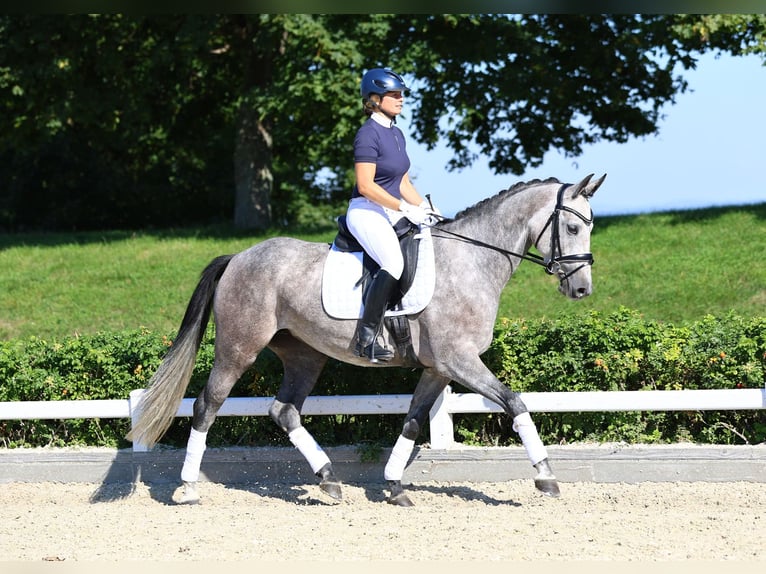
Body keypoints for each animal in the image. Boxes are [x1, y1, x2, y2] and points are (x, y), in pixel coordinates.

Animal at [127, 173, 608, 506]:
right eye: (571, 229)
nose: (582, 289)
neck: (472, 260)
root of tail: (240, 257)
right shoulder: (459, 360)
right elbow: (515, 402)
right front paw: (545, 475)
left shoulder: (438, 367)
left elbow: (413, 421)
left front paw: (395, 486)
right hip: (239, 348)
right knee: (207, 406)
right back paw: (189, 489)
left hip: (304, 355)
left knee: (284, 410)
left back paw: (328, 479)